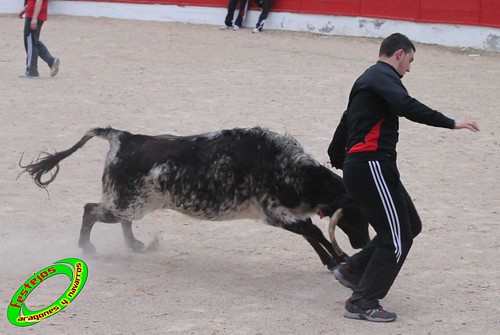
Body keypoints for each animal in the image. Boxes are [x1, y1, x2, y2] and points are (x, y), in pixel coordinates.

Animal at [21, 126, 370, 270]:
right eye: (356, 215)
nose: (364, 244)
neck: (288, 169)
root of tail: (121, 137)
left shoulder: (285, 214)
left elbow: (311, 233)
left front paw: (336, 260)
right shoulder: (273, 212)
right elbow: (312, 231)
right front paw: (338, 260)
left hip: (133, 205)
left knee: (117, 219)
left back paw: (136, 246)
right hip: (123, 203)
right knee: (90, 209)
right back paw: (88, 249)